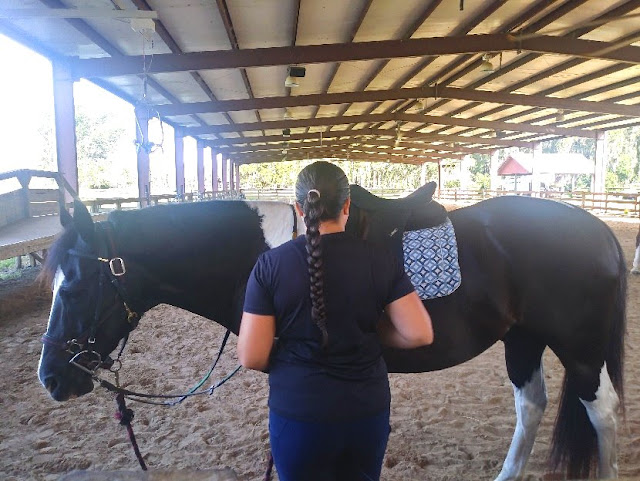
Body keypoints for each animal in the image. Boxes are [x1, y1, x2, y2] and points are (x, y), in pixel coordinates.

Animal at [36, 188, 624, 480]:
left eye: (75, 289)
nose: (51, 379)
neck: (259, 253)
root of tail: (598, 231)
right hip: (522, 339)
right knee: (532, 406)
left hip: (580, 350)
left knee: (603, 414)